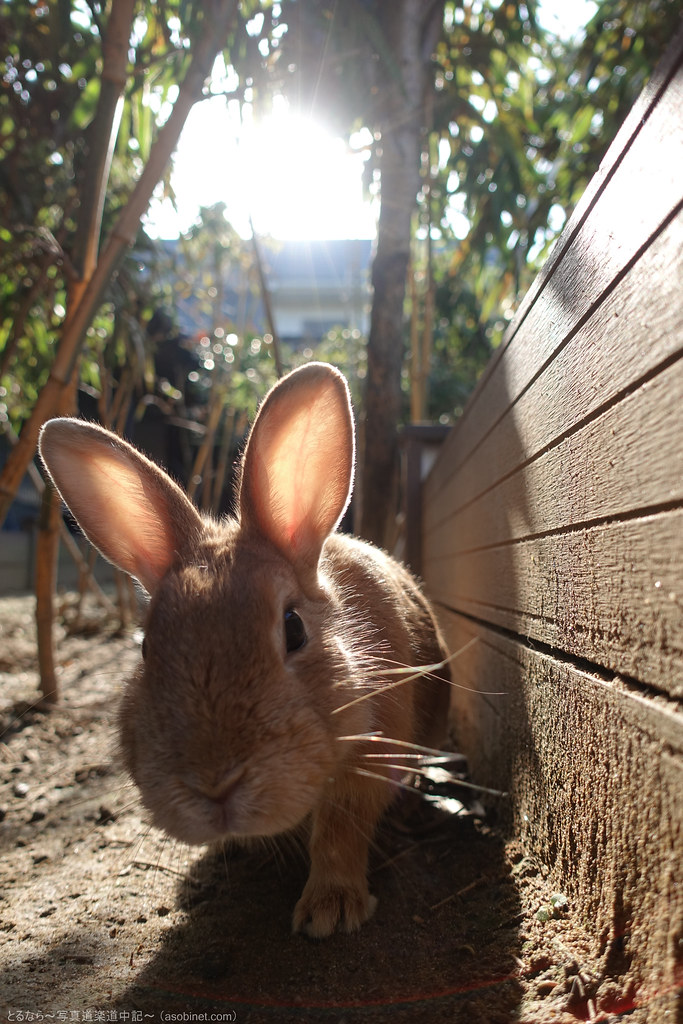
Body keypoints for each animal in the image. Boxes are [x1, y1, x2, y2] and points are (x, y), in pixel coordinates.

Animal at [38, 361, 451, 938]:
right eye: (145, 648)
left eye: (293, 628)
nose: (214, 788)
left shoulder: (367, 759)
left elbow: (341, 832)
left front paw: (330, 910)